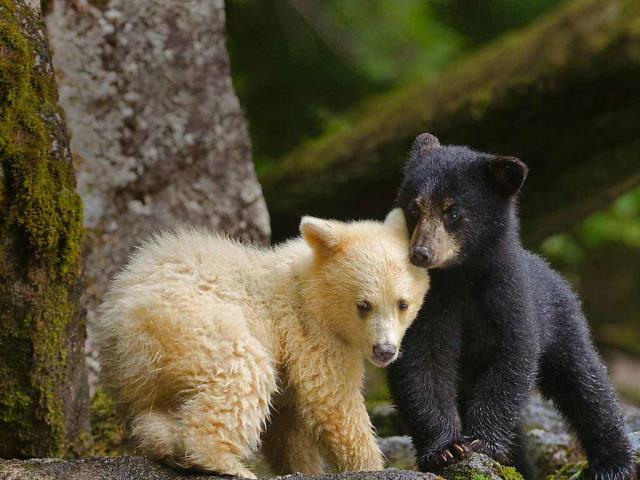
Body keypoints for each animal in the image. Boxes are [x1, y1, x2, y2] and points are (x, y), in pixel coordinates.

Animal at [95, 208, 429, 478]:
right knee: (243, 373)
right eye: (363, 305)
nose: (385, 351)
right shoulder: (310, 332)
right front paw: (370, 465)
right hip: (194, 323)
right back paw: (225, 463)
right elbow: (332, 398)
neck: (310, 287)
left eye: (402, 304)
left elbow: (288, 427)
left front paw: (302, 467)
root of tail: (119, 321)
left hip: (142, 375)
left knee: (153, 411)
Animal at [386, 133, 635, 480]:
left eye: (453, 211)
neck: (460, 277)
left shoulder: (510, 296)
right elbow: (420, 362)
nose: (421, 253)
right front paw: (445, 450)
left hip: (563, 322)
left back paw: (612, 462)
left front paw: (482, 441)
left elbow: (511, 357)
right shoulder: (425, 305)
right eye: (414, 208)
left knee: (586, 383)